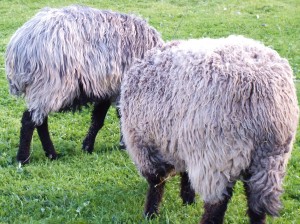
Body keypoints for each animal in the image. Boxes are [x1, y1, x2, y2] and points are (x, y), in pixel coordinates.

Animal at [4, 4, 163, 164]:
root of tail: (18, 47)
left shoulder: (107, 88)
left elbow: (98, 119)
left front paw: (88, 146)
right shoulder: (119, 89)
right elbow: (119, 117)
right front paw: (122, 145)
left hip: (44, 89)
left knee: (41, 121)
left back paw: (51, 155)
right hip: (49, 85)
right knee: (29, 120)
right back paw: (24, 159)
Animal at [119, 36, 298, 223]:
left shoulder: (145, 143)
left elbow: (156, 182)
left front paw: (151, 213)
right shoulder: (181, 143)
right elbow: (184, 175)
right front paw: (188, 200)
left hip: (218, 157)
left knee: (216, 206)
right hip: (270, 159)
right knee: (255, 203)